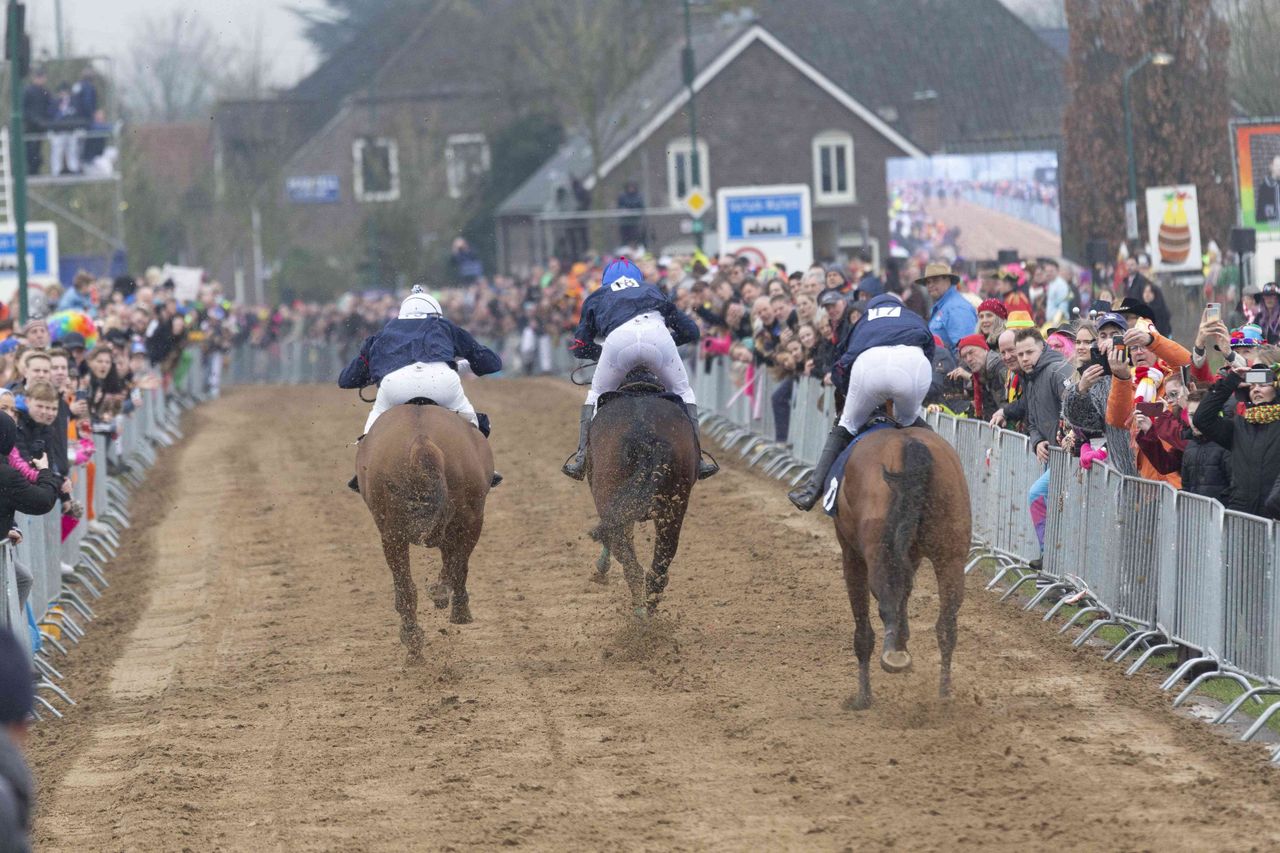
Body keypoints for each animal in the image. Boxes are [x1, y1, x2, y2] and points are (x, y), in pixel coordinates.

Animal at [355, 401, 494, 659]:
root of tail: (422, 440)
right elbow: (457, 562)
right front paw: (459, 608)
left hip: (393, 533)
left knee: (406, 588)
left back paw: (413, 638)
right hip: (469, 517)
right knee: (454, 563)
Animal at [586, 368, 698, 616]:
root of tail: (646, 437)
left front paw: (601, 568)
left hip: (608, 494)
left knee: (629, 560)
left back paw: (639, 612)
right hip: (674, 509)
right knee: (660, 563)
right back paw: (649, 606)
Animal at [831, 426, 968, 710]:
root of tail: (910, 445)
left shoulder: (851, 554)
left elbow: (864, 625)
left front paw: (862, 698)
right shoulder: (910, 553)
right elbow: (905, 590)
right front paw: (903, 643)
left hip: (878, 550)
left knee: (887, 601)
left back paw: (891, 658)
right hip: (950, 554)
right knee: (947, 624)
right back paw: (944, 695)